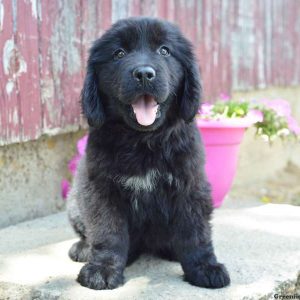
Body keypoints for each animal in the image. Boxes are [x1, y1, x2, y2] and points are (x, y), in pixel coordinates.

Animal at [67, 17, 230, 290]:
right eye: (119, 53)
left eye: (164, 51)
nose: (144, 73)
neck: (144, 140)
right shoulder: (101, 187)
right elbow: (108, 231)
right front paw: (102, 269)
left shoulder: (191, 185)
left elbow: (197, 232)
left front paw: (205, 267)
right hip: (74, 201)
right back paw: (83, 248)